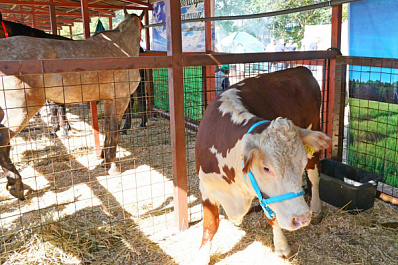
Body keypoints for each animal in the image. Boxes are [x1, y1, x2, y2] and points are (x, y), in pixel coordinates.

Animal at [0, 9, 144, 199]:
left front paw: (104, 160)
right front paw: (112, 165)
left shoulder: (109, 99)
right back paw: (16, 185)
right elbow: (114, 130)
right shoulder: (121, 98)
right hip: (21, 110)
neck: (122, 47)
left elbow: (107, 128)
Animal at [195, 66, 330, 262]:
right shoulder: (206, 188)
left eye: (301, 162)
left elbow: (272, 217)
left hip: (314, 128)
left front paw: (281, 246)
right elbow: (210, 226)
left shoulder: (265, 195)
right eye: (266, 168)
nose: (302, 218)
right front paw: (202, 255)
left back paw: (316, 208)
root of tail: (300, 68)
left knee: (314, 174)